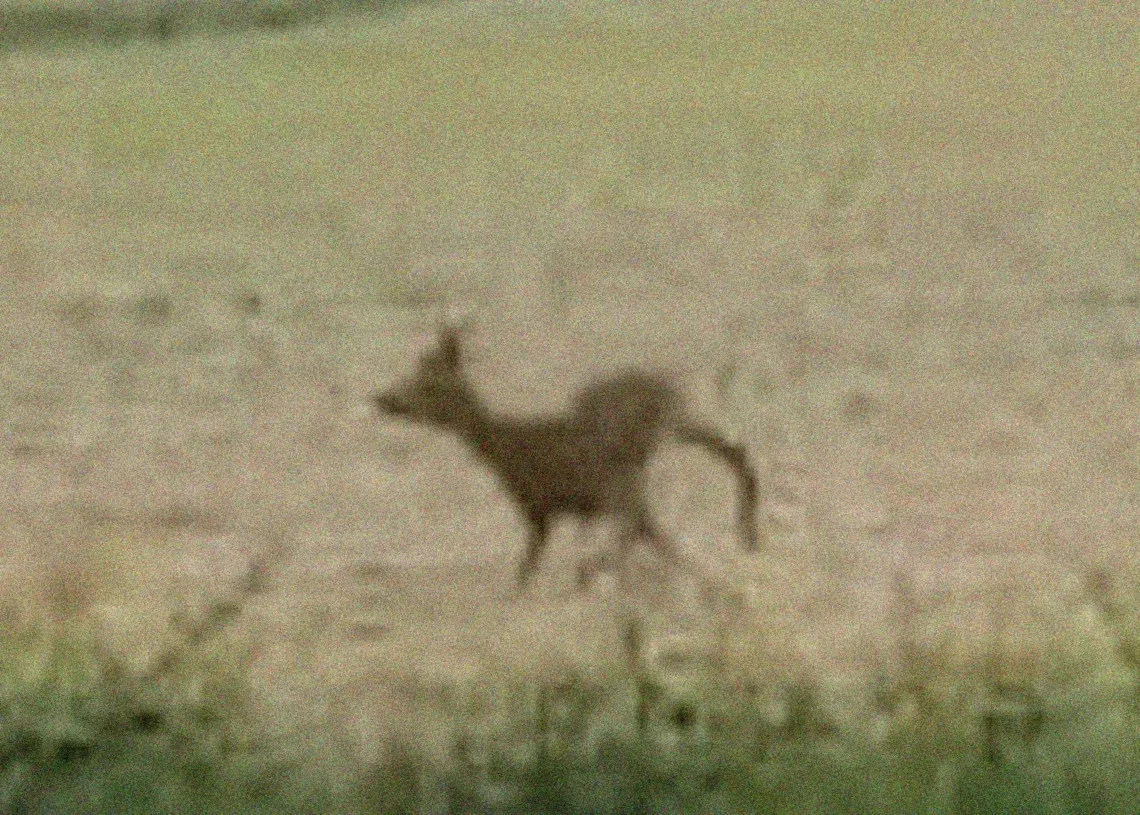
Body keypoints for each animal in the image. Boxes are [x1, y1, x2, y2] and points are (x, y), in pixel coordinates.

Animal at [372, 325, 760, 594]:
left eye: (428, 384)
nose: (384, 399)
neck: (503, 448)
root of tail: (669, 387)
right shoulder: (565, 505)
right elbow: (654, 537)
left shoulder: (541, 505)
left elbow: (527, 567)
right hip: (657, 445)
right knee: (733, 451)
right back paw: (746, 535)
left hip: (633, 459)